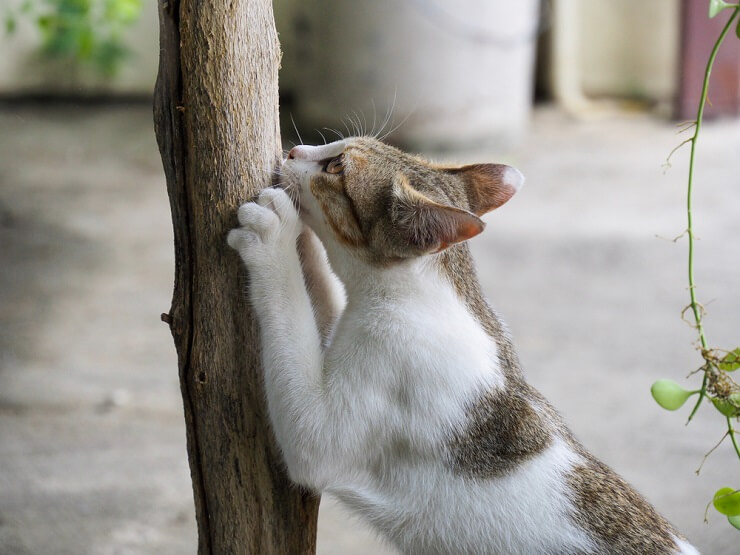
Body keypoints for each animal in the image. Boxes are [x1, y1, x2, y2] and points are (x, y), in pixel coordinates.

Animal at [227, 136, 700, 555]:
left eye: (337, 167)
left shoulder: (326, 430)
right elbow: (320, 305)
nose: (293, 151)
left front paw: (275, 236)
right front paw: (304, 243)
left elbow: (292, 325)